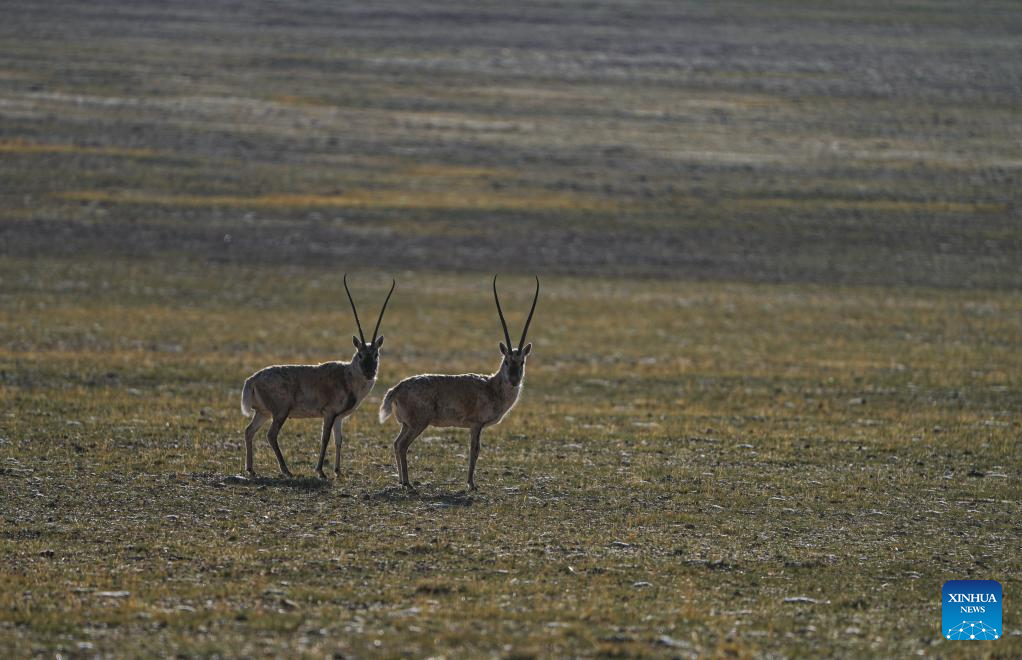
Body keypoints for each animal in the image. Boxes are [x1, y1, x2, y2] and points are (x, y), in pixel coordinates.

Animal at [239, 275, 394, 480]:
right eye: (360, 354)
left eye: (376, 354)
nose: (369, 373)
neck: (348, 375)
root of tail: (252, 379)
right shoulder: (328, 413)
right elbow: (325, 438)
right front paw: (321, 471)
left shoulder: (339, 417)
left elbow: (339, 440)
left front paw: (338, 471)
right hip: (280, 412)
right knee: (271, 435)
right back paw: (286, 470)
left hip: (263, 413)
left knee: (249, 431)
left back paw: (251, 469)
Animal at [380, 275, 539, 490]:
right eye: (506, 361)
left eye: (521, 362)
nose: (514, 380)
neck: (491, 386)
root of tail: (396, 389)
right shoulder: (476, 425)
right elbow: (475, 451)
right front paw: (471, 484)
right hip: (418, 424)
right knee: (403, 445)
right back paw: (407, 483)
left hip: (407, 425)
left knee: (397, 444)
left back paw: (401, 481)